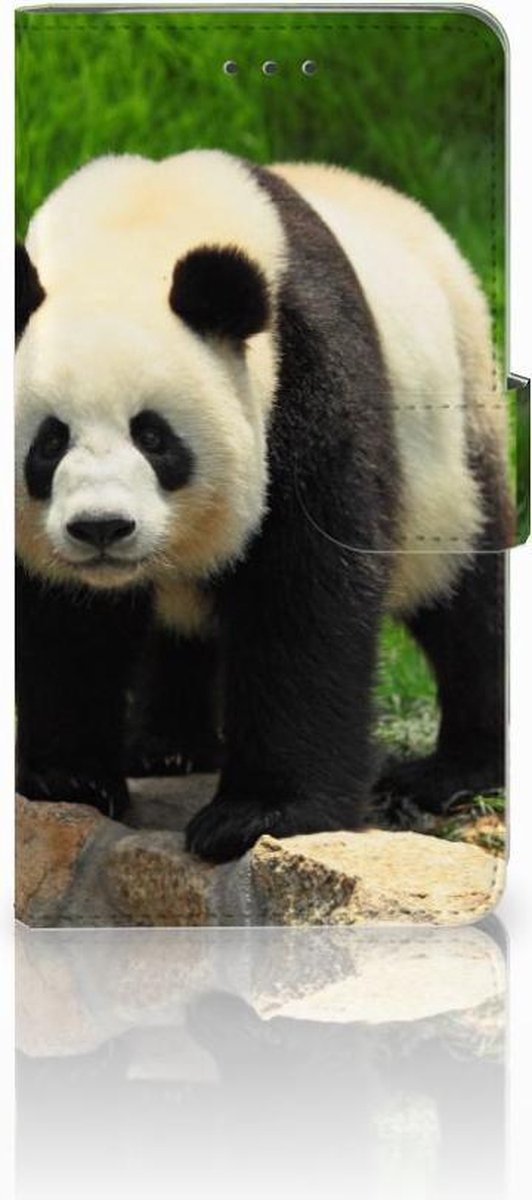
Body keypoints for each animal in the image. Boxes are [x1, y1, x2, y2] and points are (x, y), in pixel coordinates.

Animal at [15, 150, 512, 863]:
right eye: (50, 442)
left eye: (154, 436)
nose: (102, 528)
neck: (135, 235)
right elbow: (63, 620)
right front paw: (69, 778)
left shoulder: (307, 374)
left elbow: (305, 595)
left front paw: (257, 815)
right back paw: (167, 746)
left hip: (456, 433)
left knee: (468, 597)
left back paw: (455, 772)